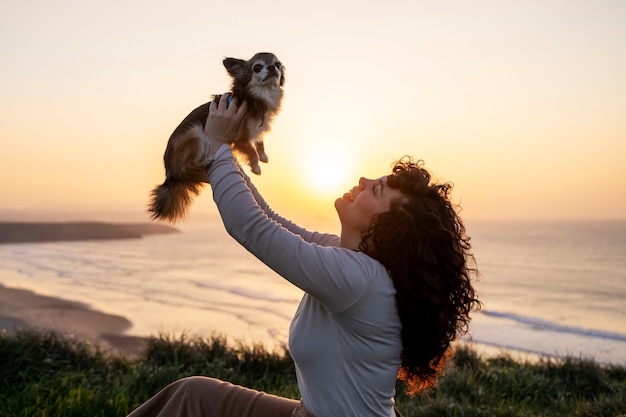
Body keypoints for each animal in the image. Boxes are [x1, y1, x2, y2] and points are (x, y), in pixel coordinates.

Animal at [147, 53, 284, 223]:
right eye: (257, 68)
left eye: (277, 65)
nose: (272, 67)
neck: (259, 96)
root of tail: (170, 176)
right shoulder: (241, 137)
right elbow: (251, 150)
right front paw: (256, 166)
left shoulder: (255, 129)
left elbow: (259, 141)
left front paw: (263, 155)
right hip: (195, 132)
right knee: (187, 167)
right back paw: (205, 162)